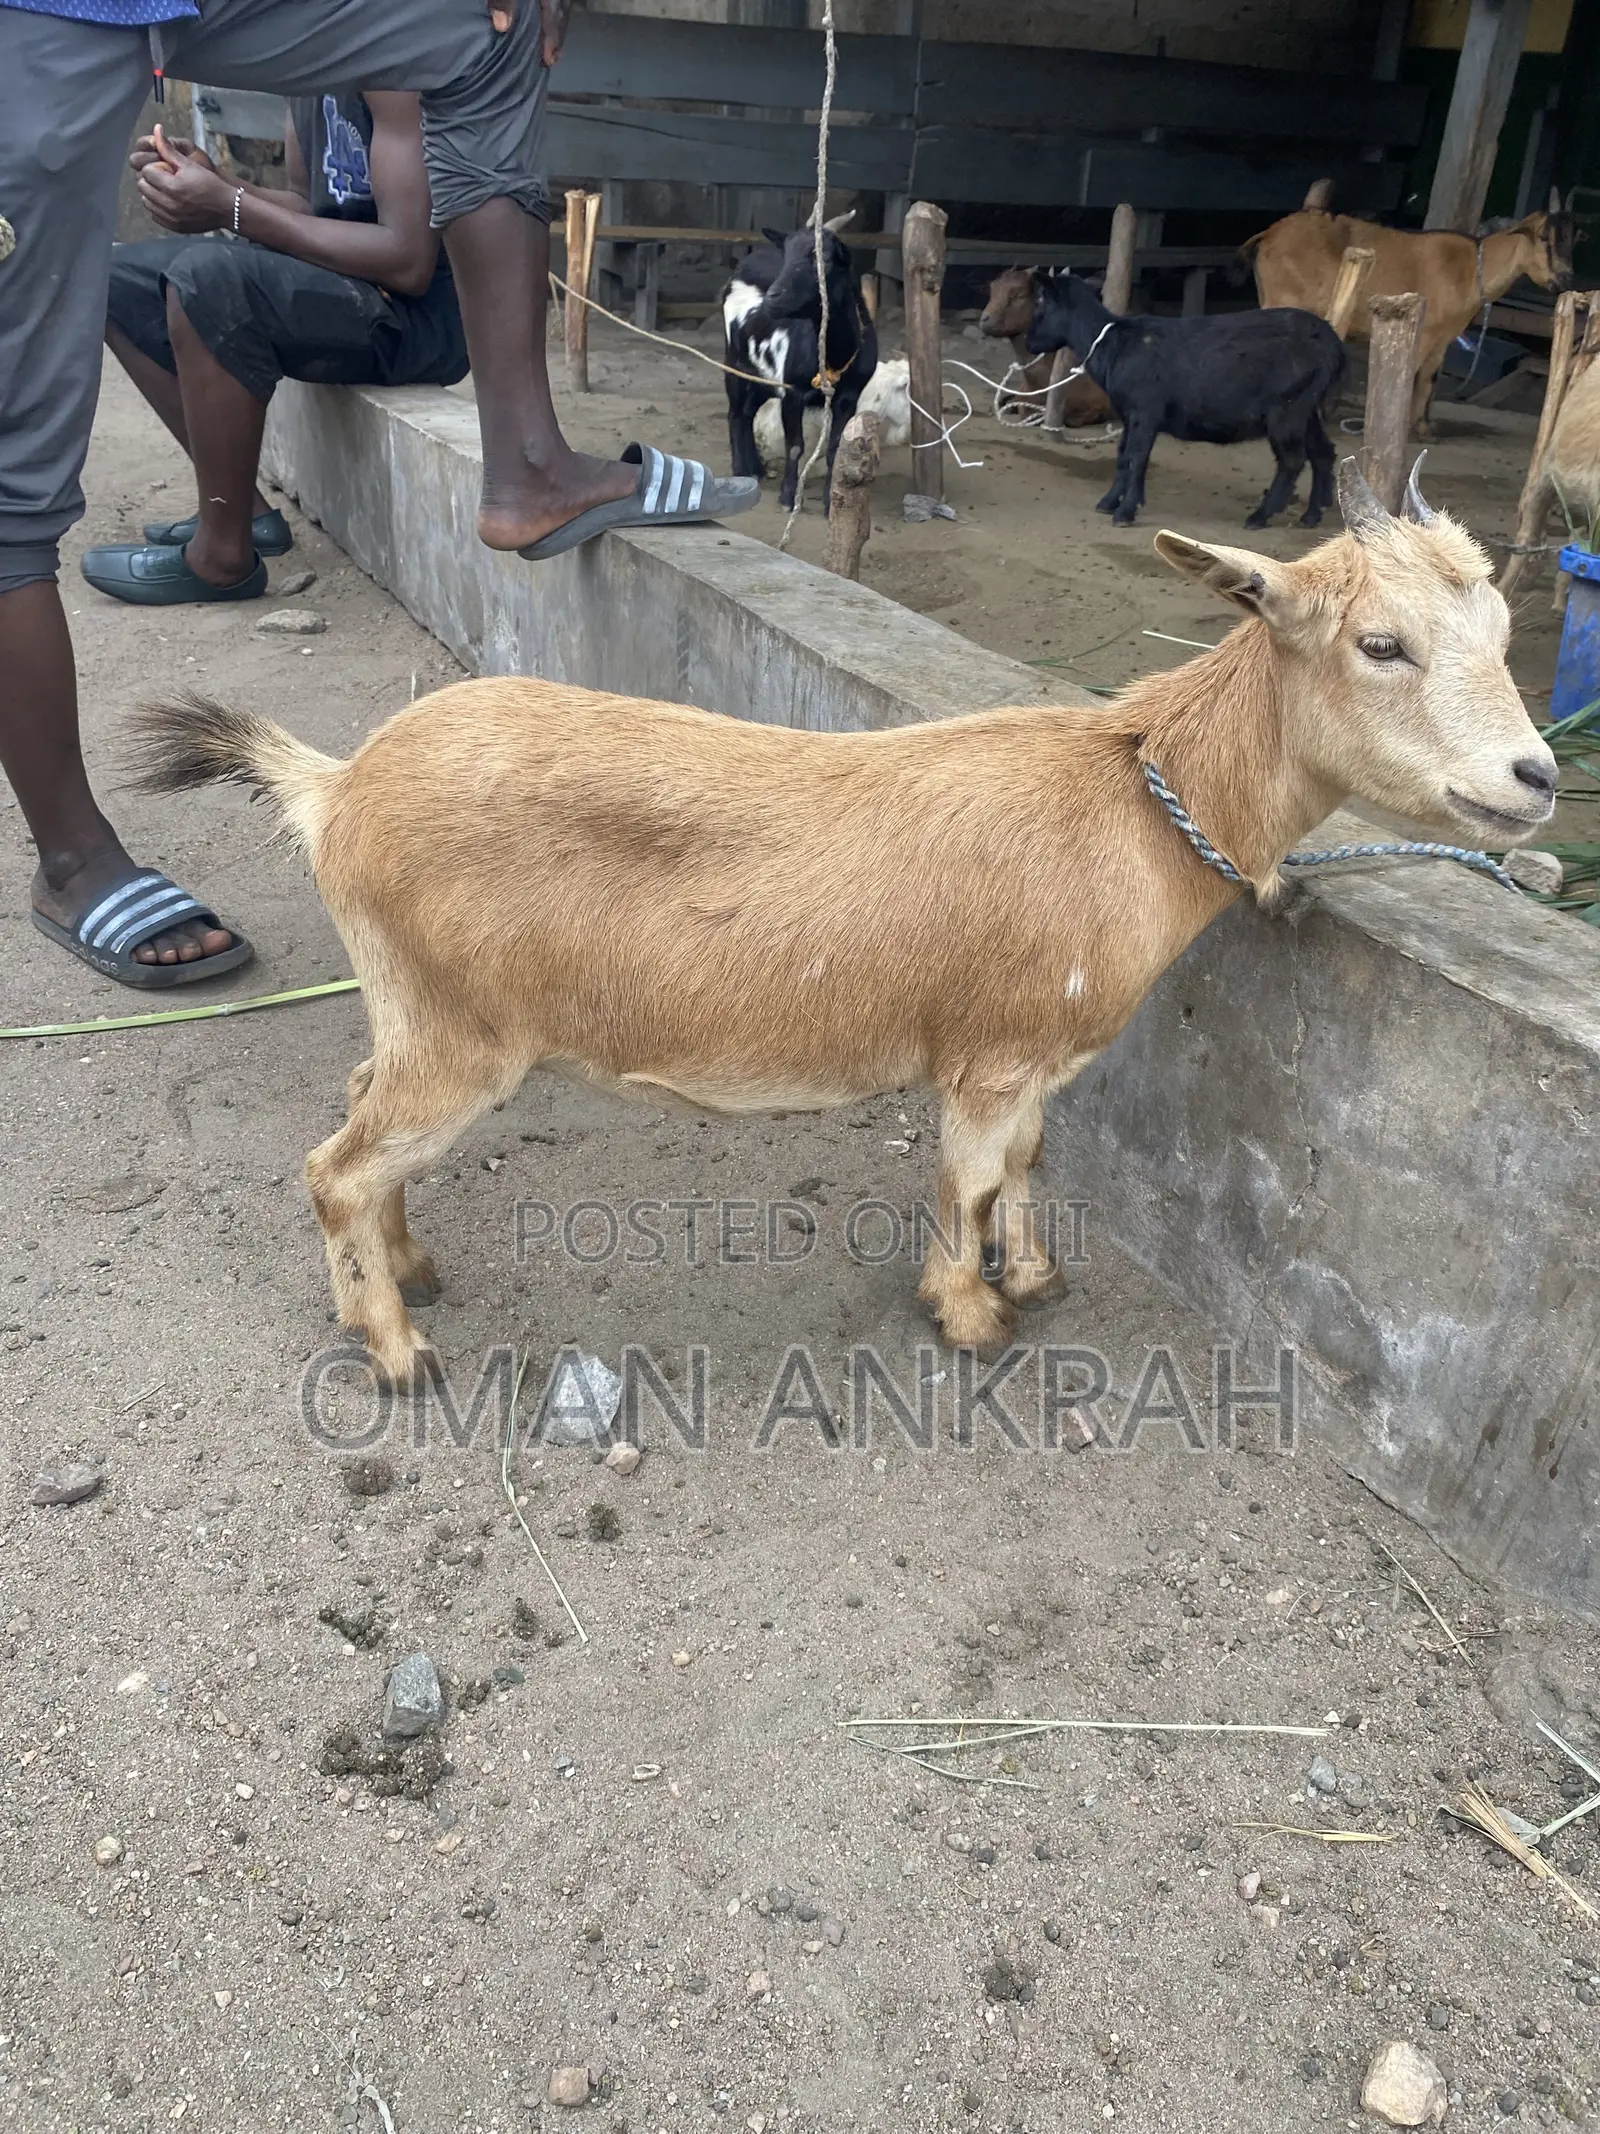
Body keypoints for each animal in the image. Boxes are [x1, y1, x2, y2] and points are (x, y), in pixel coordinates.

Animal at [129, 462, 1556, 1388]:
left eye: (1498, 629)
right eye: (1381, 643)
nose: (1537, 778)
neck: (1136, 794)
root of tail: (334, 787)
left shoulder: (1028, 1060)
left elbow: (1027, 1164)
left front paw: (1028, 1276)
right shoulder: (989, 1056)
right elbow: (970, 1176)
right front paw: (969, 1318)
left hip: (418, 1007)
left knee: (360, 1125)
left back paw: (407, 1274)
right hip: (463, 1033)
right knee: (336, 1167)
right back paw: (393, 1351)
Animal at [724, 216, 878, 509]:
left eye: (823, 258)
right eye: (786, 257)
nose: (772, 297)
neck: (834, 355)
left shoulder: (849, 396)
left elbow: (835, 448)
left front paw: (830, 501)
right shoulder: (793, 391)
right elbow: (795, 446)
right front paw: (788, 497)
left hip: (762, 378)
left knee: (748, 412)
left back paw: (756, 470)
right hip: (734, 362)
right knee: (736, 414)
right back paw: (740, 471)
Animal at [1027, 269, 1345, 528]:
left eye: (1041, 302)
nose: (1029, 343)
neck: (1112, 342)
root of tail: (1332, 343)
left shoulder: (1146, 411)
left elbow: (1136, 458)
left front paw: (1125, 512)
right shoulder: (1129, 413)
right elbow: (1123, 456)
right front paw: (1109, 502)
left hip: (1287, 408)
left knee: (1292, 460)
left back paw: (1260, 516)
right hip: (1306, 407)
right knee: (1322, 452)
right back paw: (1311, 515)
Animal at [1246, 199, 1573, 433]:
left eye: (1573, 238)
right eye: (1544, 237)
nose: (1566, 278)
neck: (1470, 271)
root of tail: (1270, 234)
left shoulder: (1443, 338)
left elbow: (1430, 377)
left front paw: (1423, 427)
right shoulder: (1425, 331)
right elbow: (1411, 372)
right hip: (1284, 298)